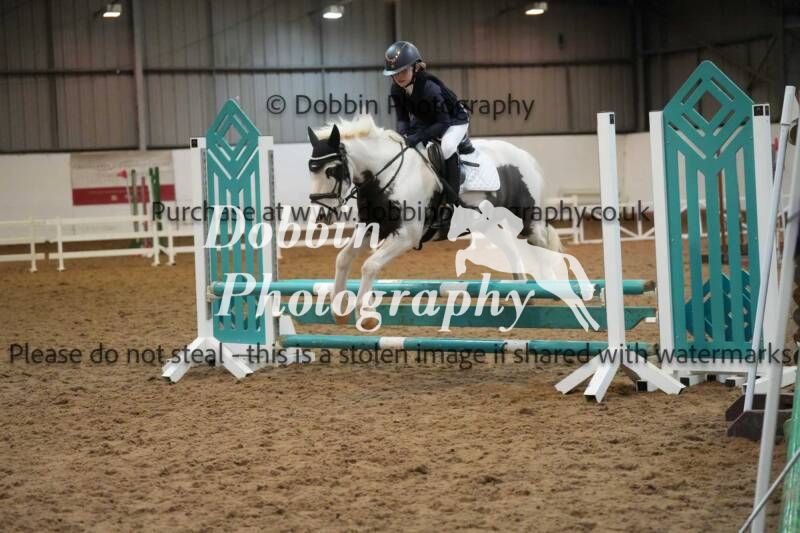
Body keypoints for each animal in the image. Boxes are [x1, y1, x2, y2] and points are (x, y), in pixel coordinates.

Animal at [306, 115, 561, 329]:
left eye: (332, 171)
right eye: (311, 171)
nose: (321, 216)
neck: (385, 175)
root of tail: (523, 155)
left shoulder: (406, 236)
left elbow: (370, 265)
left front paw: (365, 315)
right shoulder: (372, 228)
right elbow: (343, 258)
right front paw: (339, 309)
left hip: (528, 220)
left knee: (541, 246)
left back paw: (552, 287)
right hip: (487, 224)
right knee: (511, 250)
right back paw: (522, 294)